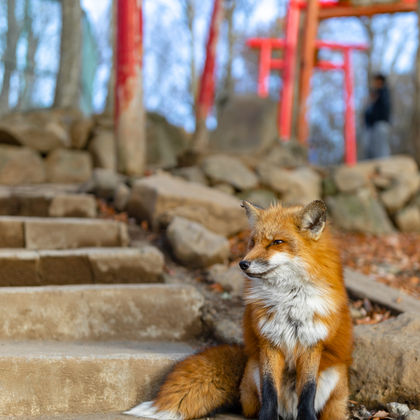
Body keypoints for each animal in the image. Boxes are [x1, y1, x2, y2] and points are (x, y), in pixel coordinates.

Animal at [125, 200, 354, 420]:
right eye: (253, 242)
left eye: (277, 242)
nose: (243, 264)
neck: (288, 300)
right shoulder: (269, 341)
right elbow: (270, 391)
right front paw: (267, 418)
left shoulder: (311, 343)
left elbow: (307, 392)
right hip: (254, 370)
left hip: (333, 378)